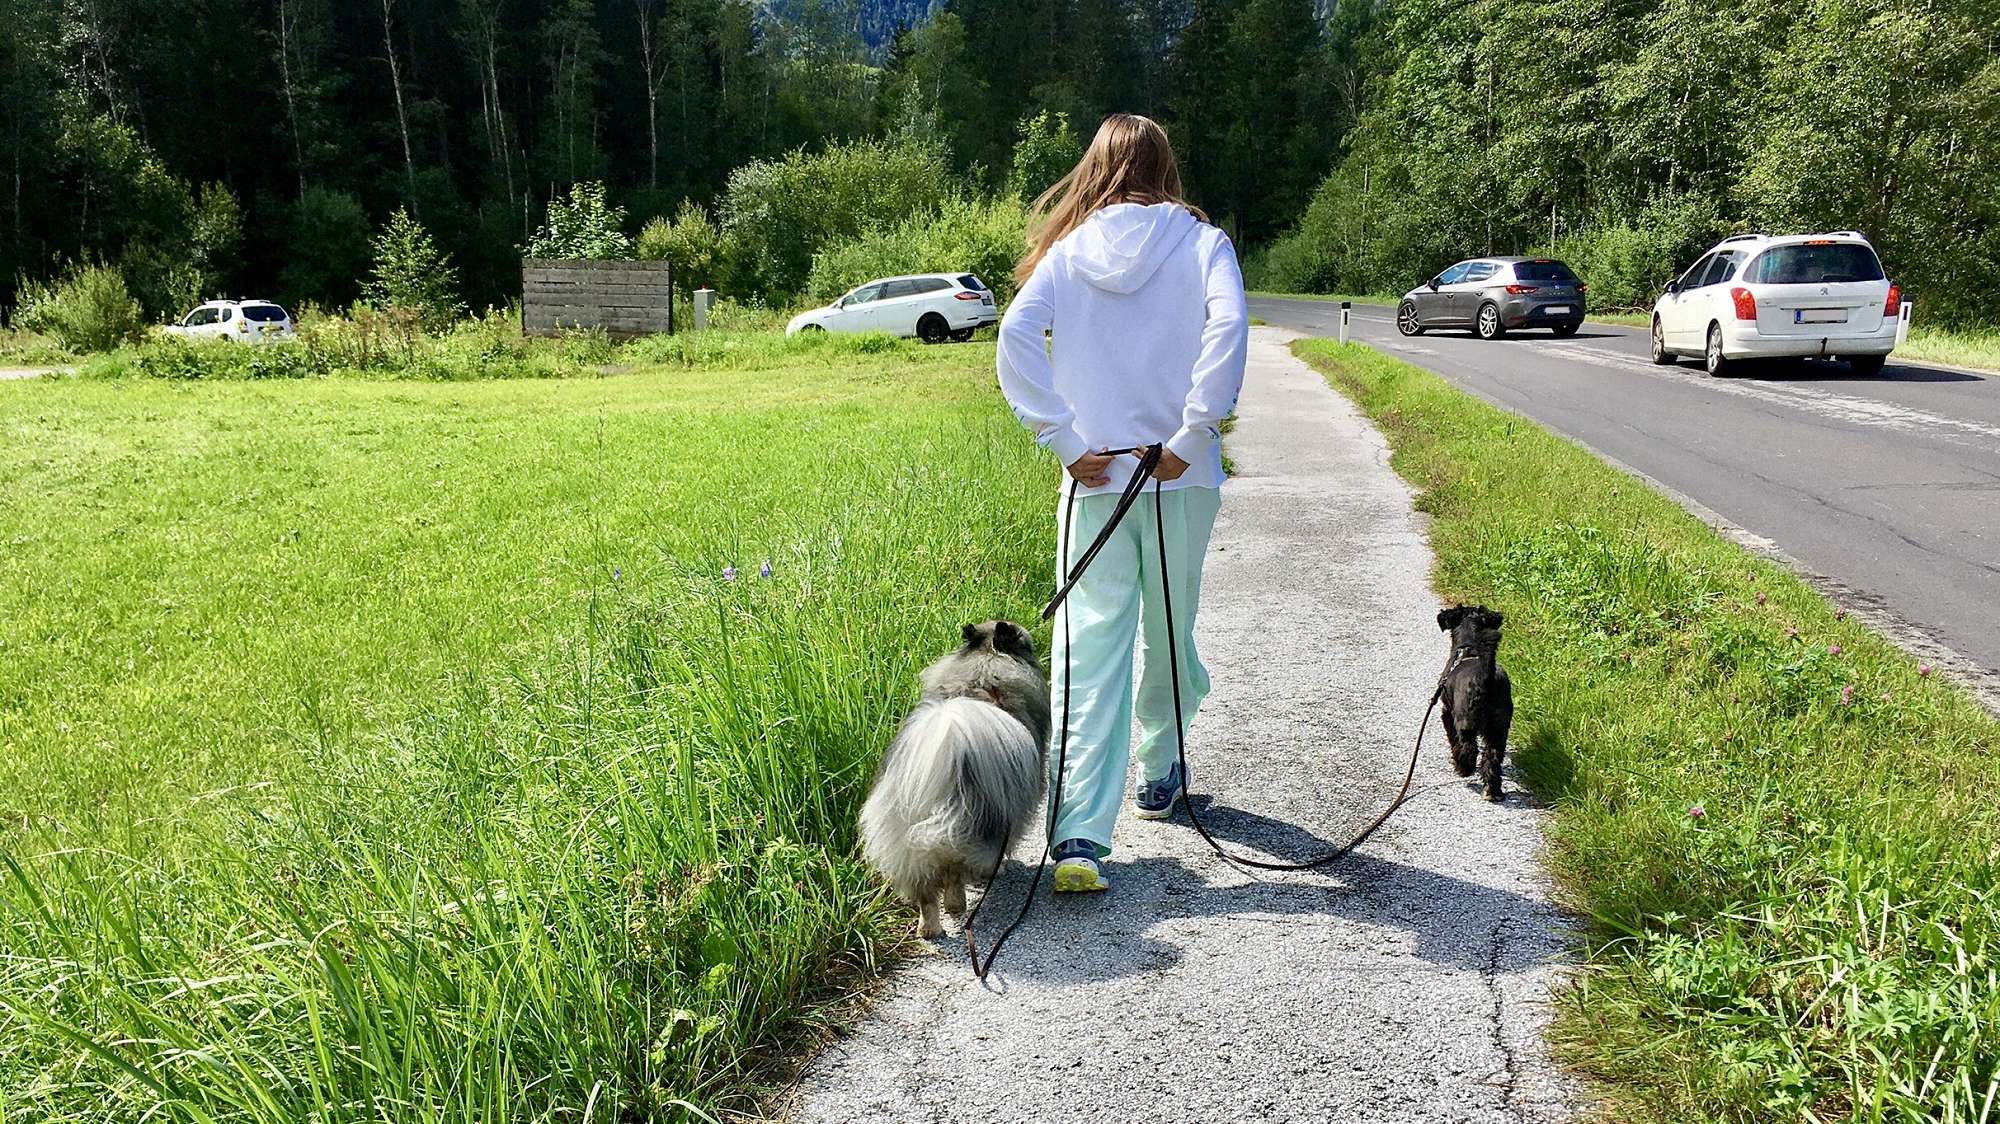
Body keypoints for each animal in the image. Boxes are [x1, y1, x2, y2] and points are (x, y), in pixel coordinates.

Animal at [856, 616, 1048, 932]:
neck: (985, 664)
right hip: (972, 825)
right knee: (954, 873)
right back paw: (957, 905)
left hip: (906, 833)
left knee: (925, 891)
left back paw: (929, 929)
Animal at [1440, 604, 1512, 796]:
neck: (1469, 649)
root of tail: (1486, 678)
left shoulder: (1446, 712)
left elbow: (1452, 737)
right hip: (1499, 727)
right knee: (1492, 756)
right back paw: (1492, 790)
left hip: (1465, 721)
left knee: (1469, 749)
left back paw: (1463, 769)